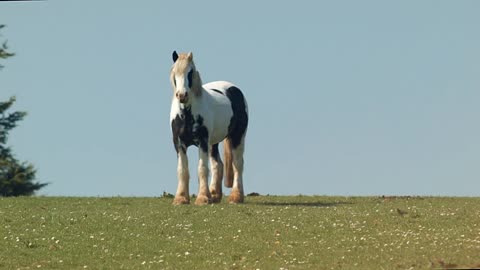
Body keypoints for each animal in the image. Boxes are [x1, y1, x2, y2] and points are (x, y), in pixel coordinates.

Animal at [169, 51, 249, 205]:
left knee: (237, 164)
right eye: (174, 72)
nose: (182, 95)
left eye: (190, 72)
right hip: (213, 143)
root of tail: (233, 88)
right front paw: (181, 198)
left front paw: (202, 198)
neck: (187, 114)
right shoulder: (179, 143)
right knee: (218, 165)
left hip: (238, 136)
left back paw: (236, 196)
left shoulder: (202, 142)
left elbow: (202, 169)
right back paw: (214, 195)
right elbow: (182, 170)